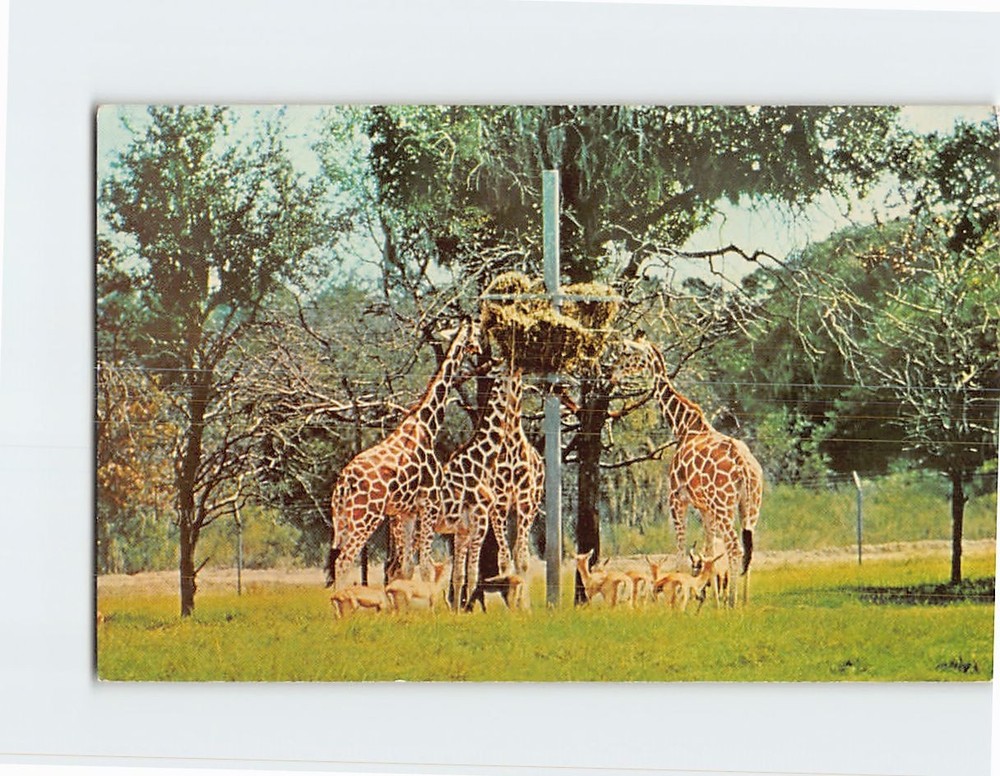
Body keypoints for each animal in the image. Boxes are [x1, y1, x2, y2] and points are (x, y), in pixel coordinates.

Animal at [324, 318, 480, 588]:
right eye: (476, 335)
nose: (480, 350)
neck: (428, 427)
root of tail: (344, 482)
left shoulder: (407, 512)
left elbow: (407, 568)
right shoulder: (429, 503)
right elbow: (425, 568)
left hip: (341, 518)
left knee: (339, 562)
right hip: (366, 517)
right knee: (345, 562)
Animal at [613, 335, 763, 606]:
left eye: (626, 353)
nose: (612, 374)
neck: (683, 427)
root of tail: (746, 468)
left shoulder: (676, 499)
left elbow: (681, 552)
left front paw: (680, 593)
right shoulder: (705, 508)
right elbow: (709, 552)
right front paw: (708, 596)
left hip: (725, 506)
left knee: (735, 547)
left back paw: (733, 601)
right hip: (750, 505)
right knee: (748, 548)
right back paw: (743, 601)